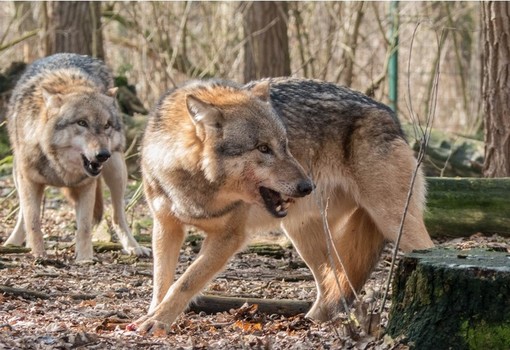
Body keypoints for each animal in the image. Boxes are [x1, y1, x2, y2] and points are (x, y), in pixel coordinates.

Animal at [2, 53, 150, 262]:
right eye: (82, 123)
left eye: (106, 125)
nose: (103, 155)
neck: (59, 167)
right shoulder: (29, 181)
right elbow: (33, 221)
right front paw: (39, 254)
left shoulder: (87, 185)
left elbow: (85, 227)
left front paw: (84, 259)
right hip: (17, 175)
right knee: (23, 213)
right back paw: (13, 243)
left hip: (117, 171)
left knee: (117, 215)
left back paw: (133, 247)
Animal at [133, 77, 432, 334]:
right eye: (263, 148)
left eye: (285, 145)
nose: (307, 186)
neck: (195, 184)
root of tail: (389, 114)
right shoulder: (166, 227)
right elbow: (162, 282)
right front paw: (152, 315)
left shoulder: (229, 237)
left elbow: (185, 282)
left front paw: (157, 321)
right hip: (303, 235)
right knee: (331, 283)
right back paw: (312, 323)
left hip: (395, 224)